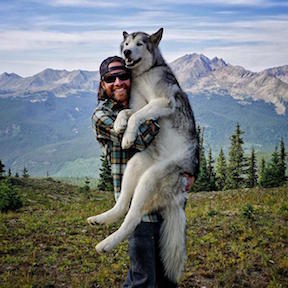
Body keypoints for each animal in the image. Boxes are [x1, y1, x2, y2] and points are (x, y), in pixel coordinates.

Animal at [88, 28, 199, 282]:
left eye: (140, 43)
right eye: (127, 43)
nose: (127, 52)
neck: (145, 74)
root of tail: (178, 198)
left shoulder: (163, 102)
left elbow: (139, 115)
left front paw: (128, 136)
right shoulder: (137, 104)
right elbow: (128, 112)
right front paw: (118, 125)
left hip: (153, 177)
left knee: (133, 217)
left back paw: (106, 244)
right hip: (137, 163)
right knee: (123, 205)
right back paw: (101, 218)